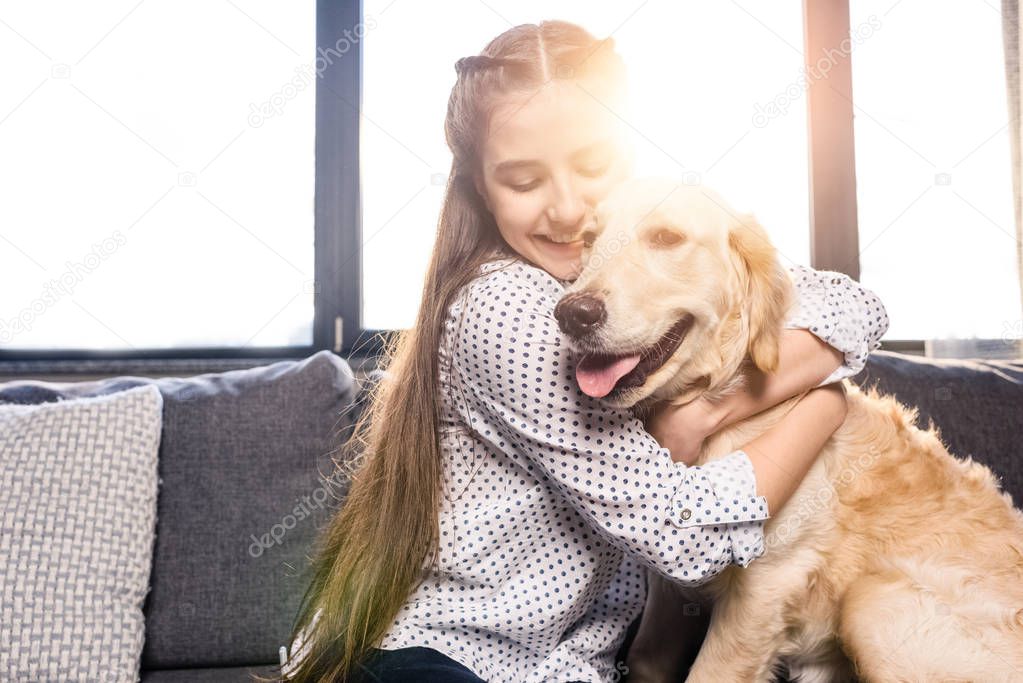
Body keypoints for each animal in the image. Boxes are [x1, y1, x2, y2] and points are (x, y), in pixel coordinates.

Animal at [552, 177, 1023, 683]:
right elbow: (646, 659)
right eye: (587, 241)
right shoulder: (670, 586)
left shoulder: (766, 584)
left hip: (872, 602)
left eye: (666, 238)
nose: (572, 313)